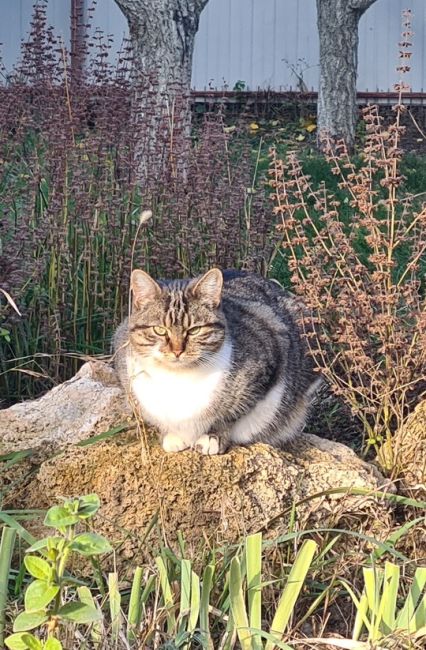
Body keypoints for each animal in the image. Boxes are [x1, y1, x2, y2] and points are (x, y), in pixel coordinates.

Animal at [113, 266, 320, 454]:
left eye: (195, 330)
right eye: (159, 330)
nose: (177, 351)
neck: (177, 378)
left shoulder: (266, 365)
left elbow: (230, 415)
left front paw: (213, 437)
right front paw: (171, 434)